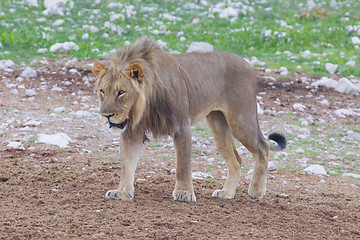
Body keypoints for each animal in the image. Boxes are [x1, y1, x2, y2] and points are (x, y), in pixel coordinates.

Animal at [92, 37, 286, 202]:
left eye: (121, 92)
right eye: (102, 91)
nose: (106, 115)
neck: (144, 105)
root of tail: (249, 65)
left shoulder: (182, 126)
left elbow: (183, 165)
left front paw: (184, 193)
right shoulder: (131, 132)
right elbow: (127, 164)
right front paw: (122, 192)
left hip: (241, 119)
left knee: (263, 147)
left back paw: (256, 191)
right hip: (218, 124)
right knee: (236, 161)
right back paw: (227, 193)